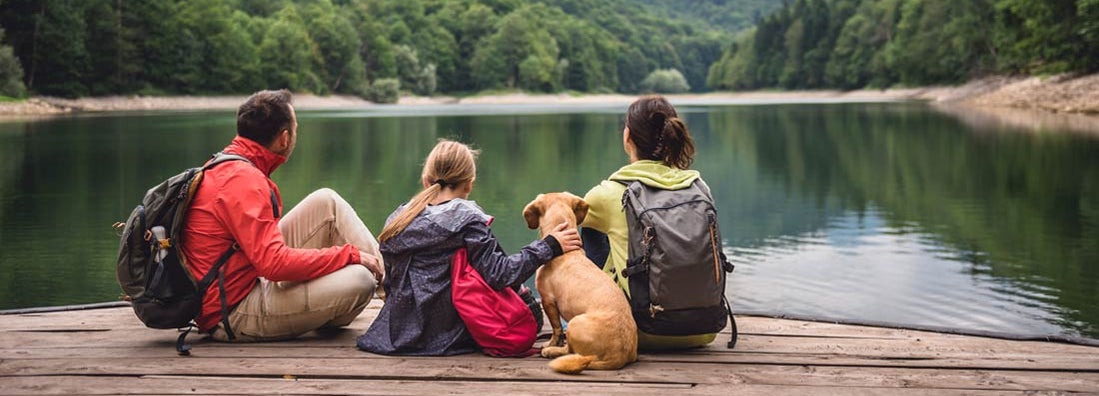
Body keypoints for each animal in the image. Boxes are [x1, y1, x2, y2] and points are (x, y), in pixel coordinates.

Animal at [520, 191, 637, 374]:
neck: (566, 252)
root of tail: (618, 356)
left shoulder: (547, 300)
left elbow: (556, 328)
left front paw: (550, 343)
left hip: (574, 323)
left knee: (569, 350)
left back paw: (550, 351)